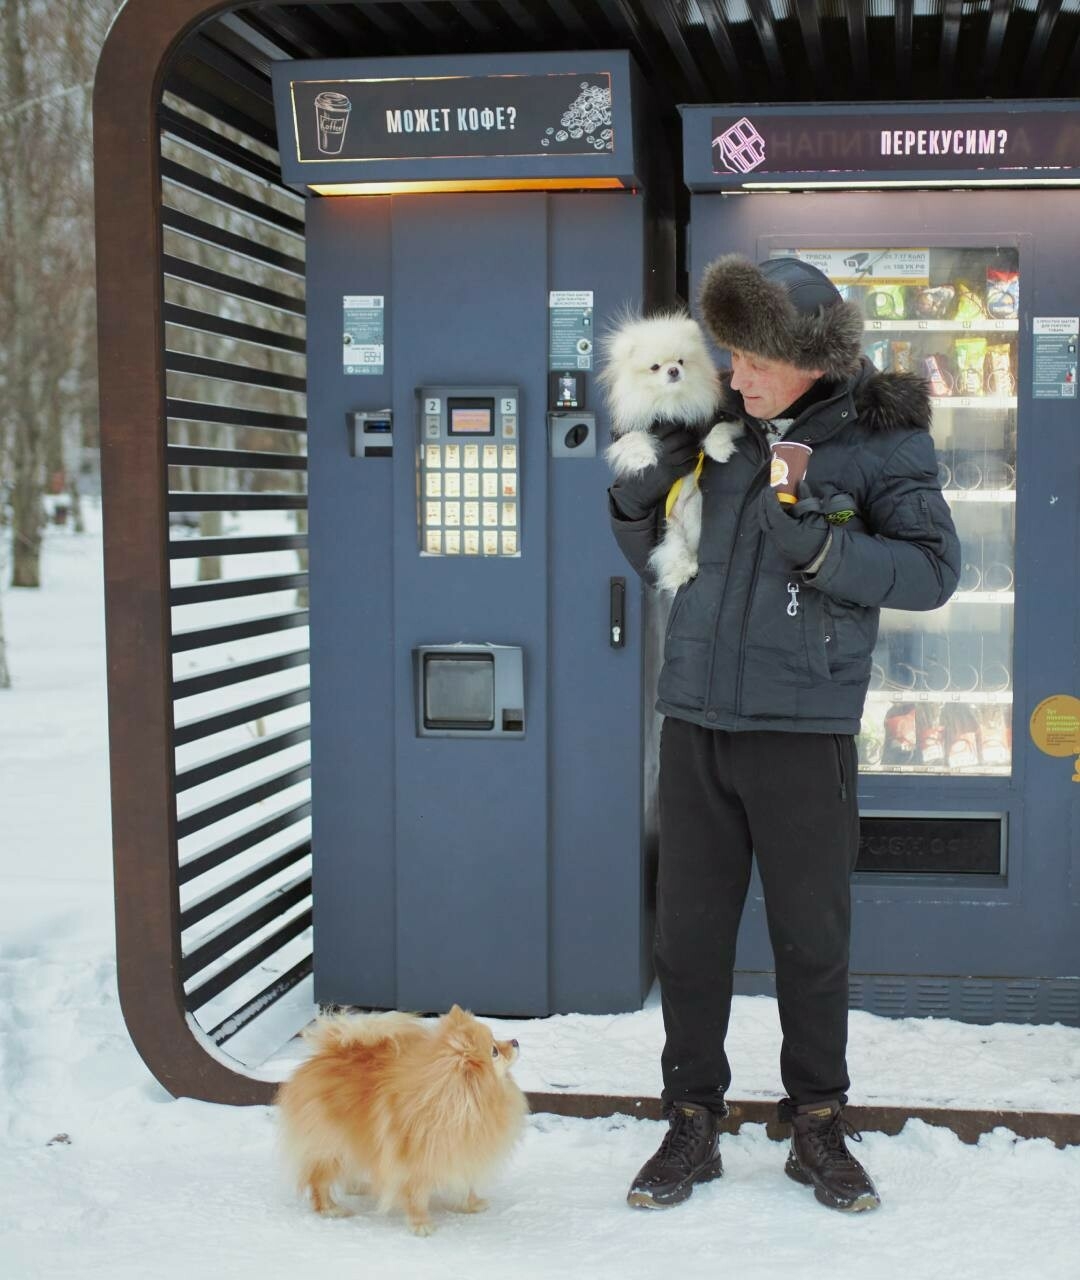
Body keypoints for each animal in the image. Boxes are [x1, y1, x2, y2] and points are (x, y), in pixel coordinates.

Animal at [273, 1003, 527, 1233]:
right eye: (494, 1051)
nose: (515, 1041)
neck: (464, 1102)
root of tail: (324, 1052)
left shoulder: (461, 1152)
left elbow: (466, 1185)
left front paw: (472, 1204)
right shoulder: (416, 1162)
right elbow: (417, 1197)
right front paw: (421, 1225)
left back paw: (357, 1186)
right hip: (330, 1143)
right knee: (318, 1179)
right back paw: (330, 1209)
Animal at [598, 312, 742, 591]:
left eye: (681, 361)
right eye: (655, 367)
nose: (674, 370)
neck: (670, 404)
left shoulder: (707, 418)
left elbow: (718, 429)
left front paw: (720, 449)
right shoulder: (628, 429)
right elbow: (633, 440)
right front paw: (644, 458)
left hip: (695, 514)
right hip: (668, 526)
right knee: (673, 551)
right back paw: (683, 571)